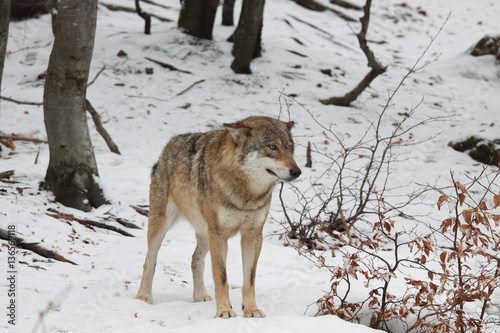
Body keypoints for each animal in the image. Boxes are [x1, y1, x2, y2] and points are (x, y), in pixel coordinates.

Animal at [136, 116, 300, 316]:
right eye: (272, 147)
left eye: (290, 147)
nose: (297, 171)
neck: (246, 194)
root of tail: (167, 146)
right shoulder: (219, 233)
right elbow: (221, 278)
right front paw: (224, 312)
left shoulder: (253, 235)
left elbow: (250, 279)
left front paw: (251, 310)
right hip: (162, 226)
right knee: (150, 261)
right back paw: (143, 297)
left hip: (205, 234)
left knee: (195, 259)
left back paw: (199, 296)